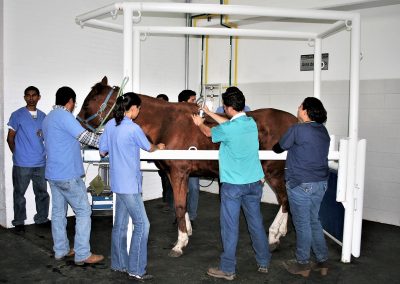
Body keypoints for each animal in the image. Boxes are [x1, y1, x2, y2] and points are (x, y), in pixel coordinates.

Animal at [77, 76, 296, 256]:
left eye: (87, 102)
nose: (78, 124)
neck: (167, 124)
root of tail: (294, 122)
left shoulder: (178, 173)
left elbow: (180, 205)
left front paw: (180, 243)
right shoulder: (173, 174)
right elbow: (181, 203)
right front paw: (187, 230)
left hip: (273, 172)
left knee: (285, 200)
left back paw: (274, 234)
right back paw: (280, 231)